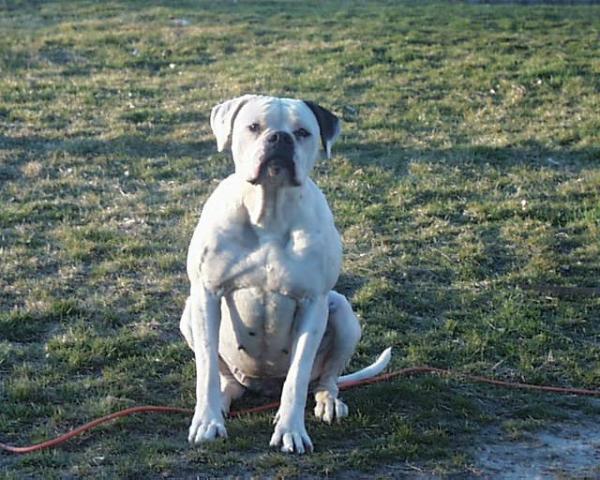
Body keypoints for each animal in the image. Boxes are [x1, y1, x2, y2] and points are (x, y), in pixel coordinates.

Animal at [180, 94, 392, 454]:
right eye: (253, 126)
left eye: (303, 132)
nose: (280, 138)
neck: (269, 211)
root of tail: (263, 387)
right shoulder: (206, 294)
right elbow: (206, 369)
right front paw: (207, 421)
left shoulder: (313, 304)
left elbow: (297, 377)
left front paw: (291, 430)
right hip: (189, 315)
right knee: (225, 379)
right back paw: (222, 400)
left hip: (343, 313)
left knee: (324, 379)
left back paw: (327, 401)